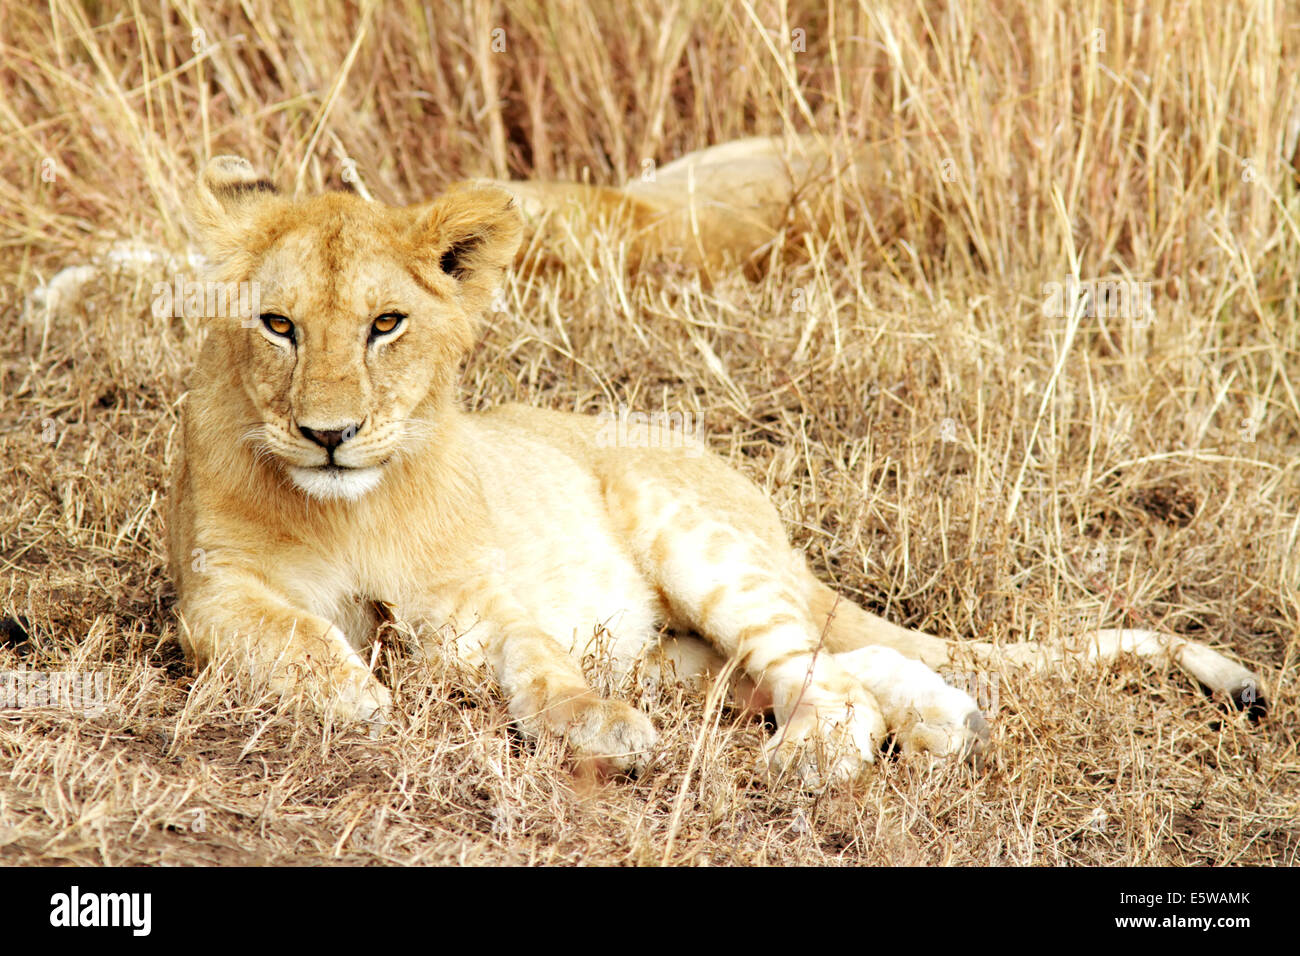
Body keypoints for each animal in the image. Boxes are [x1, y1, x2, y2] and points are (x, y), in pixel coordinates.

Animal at [167, 151, 1264, 787]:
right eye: (279, 326)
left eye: (385, 324)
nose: (330, 433)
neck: (350, 507)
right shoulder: (208, 590)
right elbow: (283, 629)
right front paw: (351, 693)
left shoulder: (484, 605)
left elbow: (541, 667)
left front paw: (599, 733)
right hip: (671, 652)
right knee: (839, 665)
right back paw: (944, 722)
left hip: (691, 538)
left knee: (819, 676)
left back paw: (826, 752)